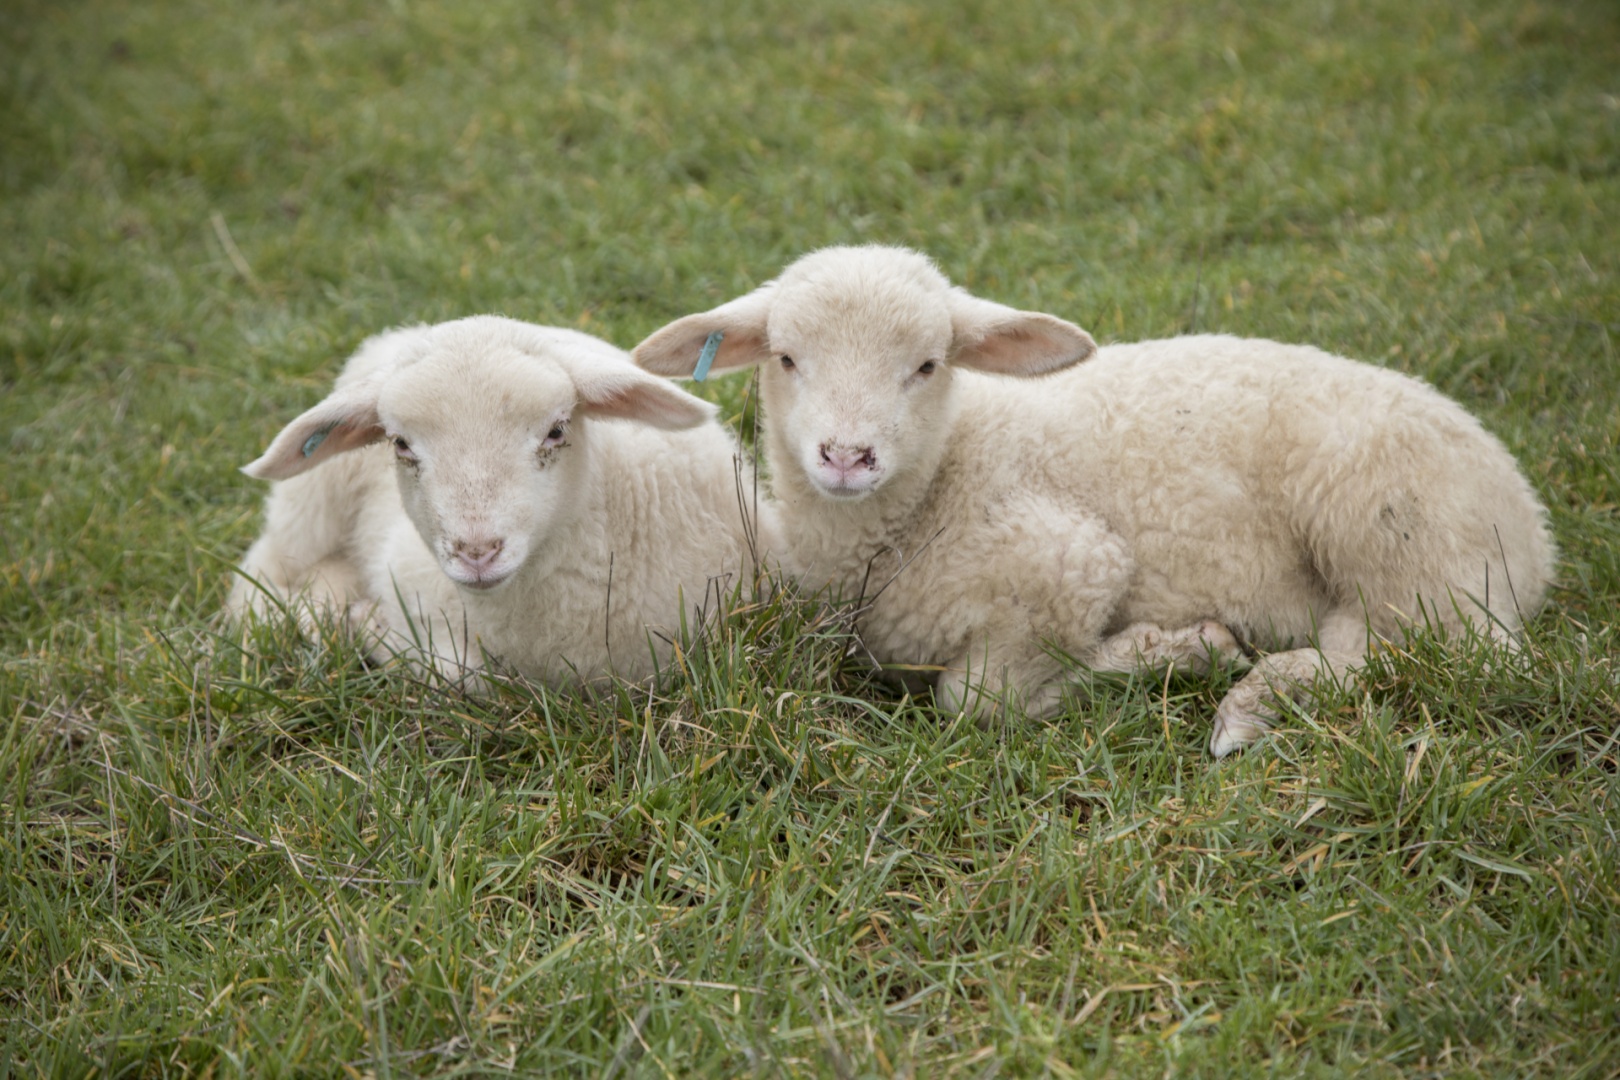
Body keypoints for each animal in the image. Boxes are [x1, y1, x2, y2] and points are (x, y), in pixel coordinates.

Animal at [230, 314, 777, 683]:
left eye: (556, 431)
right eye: (400, 444)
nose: (477, 552)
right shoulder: (406, 578)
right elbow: (461, 675)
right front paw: (368, 626)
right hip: (308, 511)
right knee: (258, 584)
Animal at [631, 246, 1555, 757]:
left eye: (927, 365)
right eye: (786, 358)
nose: (847, 457)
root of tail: (1533, 528)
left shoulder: (1072, 559)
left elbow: (976, 699)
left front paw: (1165, 651)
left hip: (1402, 540)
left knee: (1428, 656)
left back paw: (1243, 702)